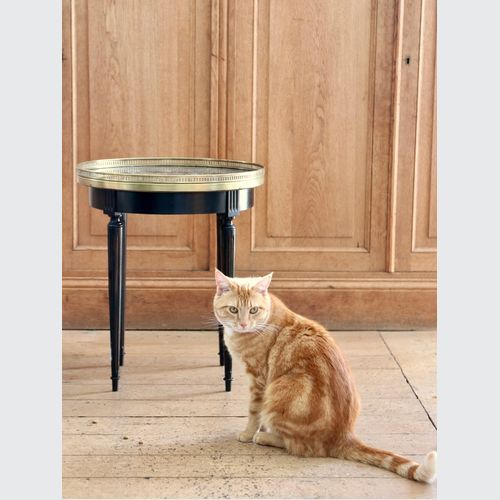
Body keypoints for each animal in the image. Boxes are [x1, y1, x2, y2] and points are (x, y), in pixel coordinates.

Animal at [213, 272, 436, 482]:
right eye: (233, 310)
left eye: (253, 310)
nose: (243, 324)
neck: (264, 322)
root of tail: (344, 436)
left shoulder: (259, 380)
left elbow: (254, 412)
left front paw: (248, 433)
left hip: (280, 389)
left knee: (297, 445)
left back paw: (264, 437)